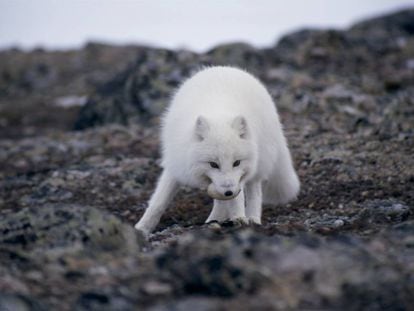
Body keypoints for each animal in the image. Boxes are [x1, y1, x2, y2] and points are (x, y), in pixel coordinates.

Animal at [134, 66, 300, 236]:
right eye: (213, 164)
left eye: (236, 163)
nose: (229, 192)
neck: (217, 114)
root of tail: (227, 68)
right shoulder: (176, 165)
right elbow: (159, 201)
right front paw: (142, 228)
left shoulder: (237, 179)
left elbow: (238, 198)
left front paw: (239, 218)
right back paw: (213, 220)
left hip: (258, 163)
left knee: (254, 192)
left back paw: (252, 219)